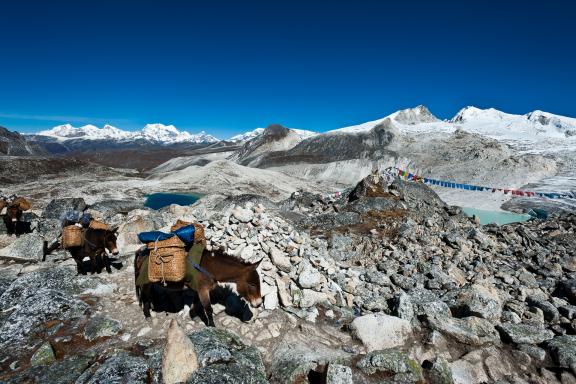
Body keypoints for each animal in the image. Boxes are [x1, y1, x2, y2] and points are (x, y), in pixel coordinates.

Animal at [134, 249, 262, 328]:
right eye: (252, 284)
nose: (259, 303)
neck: (210, 268)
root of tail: (141, 252)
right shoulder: (203, 290)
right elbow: (208, 308)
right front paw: (212, 326)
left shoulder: (198, 290)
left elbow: (197, 304)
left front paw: (194, 316)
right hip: (146, 283)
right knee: (145, 297)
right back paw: (148, 315)